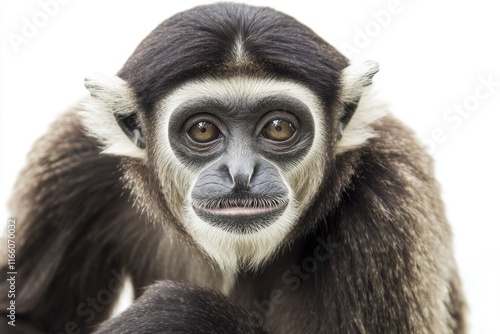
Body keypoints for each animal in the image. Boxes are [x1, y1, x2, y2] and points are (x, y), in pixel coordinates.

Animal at [0, 2, 468, 334]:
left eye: (278, 127)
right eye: (203, 129)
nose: (240, 173)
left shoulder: (392, 198)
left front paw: (180, 314)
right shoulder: (72, 161)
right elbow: (28, 319)